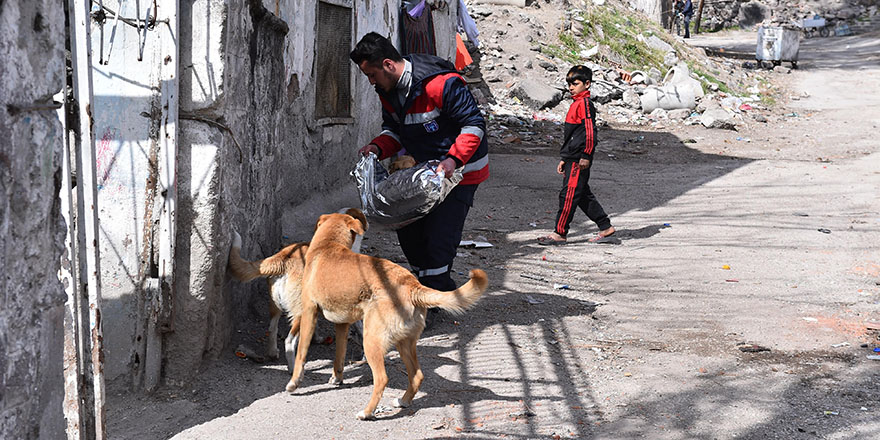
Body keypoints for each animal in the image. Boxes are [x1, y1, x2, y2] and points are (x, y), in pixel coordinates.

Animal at [227, 208, 368, 370]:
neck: (330, 241)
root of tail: (284, 259)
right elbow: (361, 328)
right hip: (300, 312)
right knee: (289, 341)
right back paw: (293, 367)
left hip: (275, 306)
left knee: (272, 328)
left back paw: (272, 352)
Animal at [288, 212, 488, 420]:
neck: (328, 244)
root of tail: (412, 286)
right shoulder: (342, 324)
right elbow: (339, 355)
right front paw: (337, 377)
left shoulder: (309, 313)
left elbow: (301, 352)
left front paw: (294, 382)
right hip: (405, 343)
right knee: (417, 375)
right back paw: (403, 401)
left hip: (372, 341)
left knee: (382, 379)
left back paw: (367, 412)